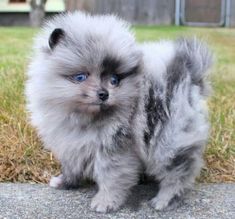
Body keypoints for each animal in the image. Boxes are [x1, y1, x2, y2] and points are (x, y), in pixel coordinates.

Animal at [25, 11, 211, 212]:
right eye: (81, 77)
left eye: (114, 80)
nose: (104, 94)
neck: (83, 118)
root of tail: (190, 74)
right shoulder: (71, 144)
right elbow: (71, 166)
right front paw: (65, 182)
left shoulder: (116, 148)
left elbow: (112, 177)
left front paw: (105, 202)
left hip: (168, 139)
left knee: (177, 172)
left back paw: (164, 200)